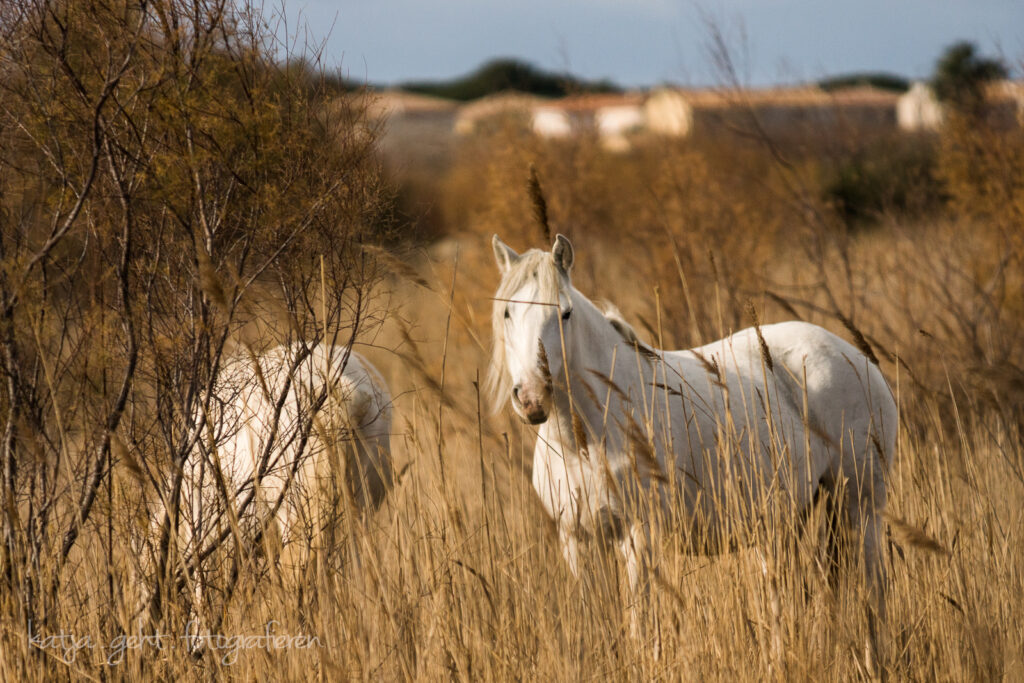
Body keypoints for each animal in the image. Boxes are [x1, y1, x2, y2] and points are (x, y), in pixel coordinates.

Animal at [487, 233, 897, 667]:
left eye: (564, 313)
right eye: (508, 313)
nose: (532, 398)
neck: (586, 437)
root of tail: (856, 357)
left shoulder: (640, 534)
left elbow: (641, 623)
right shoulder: (577, 540)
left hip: (862, 505)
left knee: (872, 593)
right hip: (783, 522)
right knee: (783, 598)